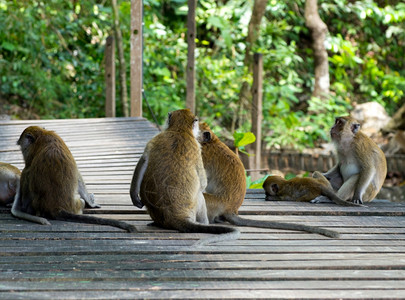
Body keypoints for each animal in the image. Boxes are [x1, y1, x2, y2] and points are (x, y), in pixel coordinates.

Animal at [129, 109, 238, 245]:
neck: (179, 130)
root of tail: (176, 217)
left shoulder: (157, 138)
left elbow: (144, 160)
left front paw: (134, 195)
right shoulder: (197, 148)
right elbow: (203, 183)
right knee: (200, 195)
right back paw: (204, 222)